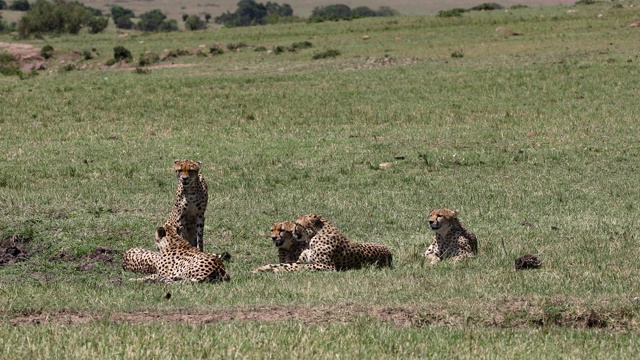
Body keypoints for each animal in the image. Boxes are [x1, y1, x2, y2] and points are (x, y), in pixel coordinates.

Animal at [252, 214, 392, 272]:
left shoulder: (327, 266)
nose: (273, 238)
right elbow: (283, 264)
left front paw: (274, 270)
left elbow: (297, 267)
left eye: (297, 224)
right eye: (272, 230)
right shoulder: (298, 260)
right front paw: (260, 269)